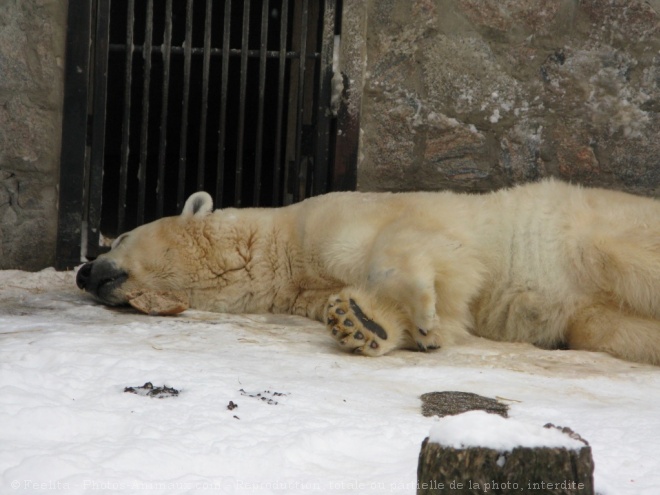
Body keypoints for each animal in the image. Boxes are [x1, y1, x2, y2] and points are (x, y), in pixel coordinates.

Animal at [75, 180, 660, 366]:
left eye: (119, 238)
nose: (83, 272)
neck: (277, 250)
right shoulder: (301, 285)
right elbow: (363, 302)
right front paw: (361, 324)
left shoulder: (333, 217)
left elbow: (405, 242)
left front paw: (424, 317)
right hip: (592, 307)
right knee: (606, 327)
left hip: (588, 231)